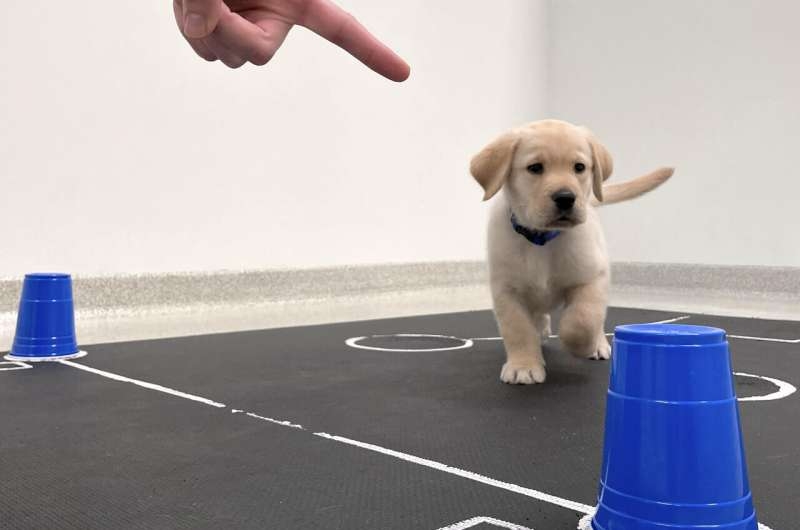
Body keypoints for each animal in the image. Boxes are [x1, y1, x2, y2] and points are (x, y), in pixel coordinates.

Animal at [472, 118, 672, 384]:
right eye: (535, 168)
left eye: (579, 167)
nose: (566, 197)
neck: (543, 240)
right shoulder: (506, 290)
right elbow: (518, 329)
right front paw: (524, 365)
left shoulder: (592, 278)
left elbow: (582, 319)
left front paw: (581, 345)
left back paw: (598, 344)